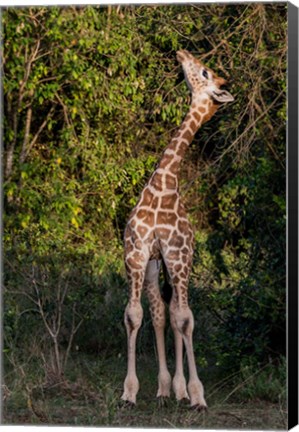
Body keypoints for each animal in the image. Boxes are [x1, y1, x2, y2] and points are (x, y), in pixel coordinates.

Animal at [121, 49, 234, 408]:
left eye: (205, 71)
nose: (183, 53)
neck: (163, 187)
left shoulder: (179, 258)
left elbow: (185, 319)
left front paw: (196, 394)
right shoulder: (137, 253)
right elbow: (135, 315)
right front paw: (129, 393)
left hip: (179, 265)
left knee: (179, 315)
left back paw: (182, 390)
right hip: (157, 266)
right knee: (161, 312)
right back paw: (164, 389)